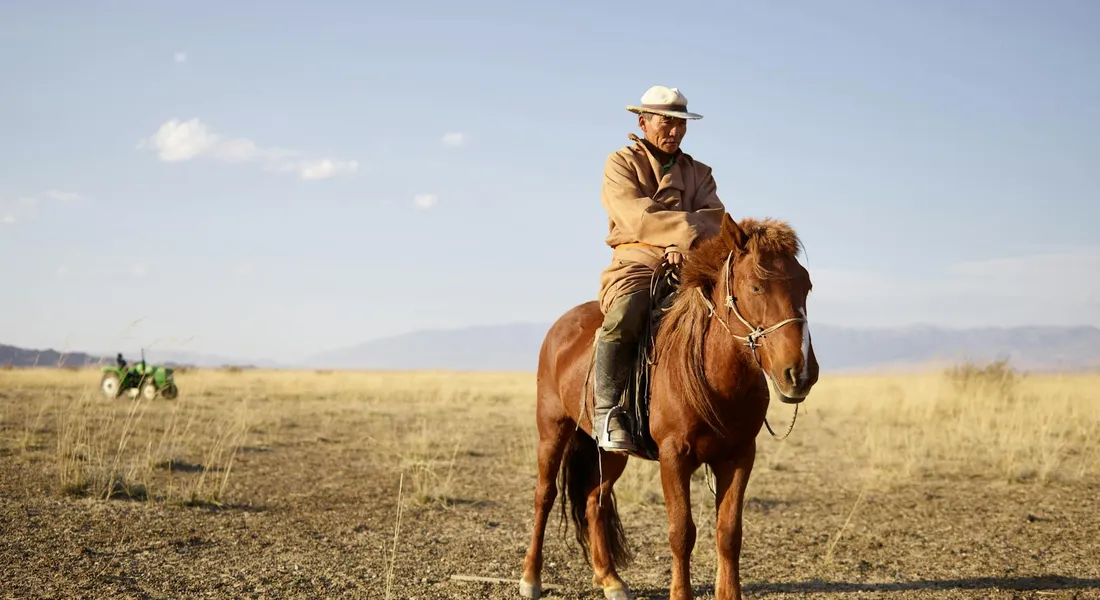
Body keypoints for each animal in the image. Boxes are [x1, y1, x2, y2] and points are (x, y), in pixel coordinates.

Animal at [519, 214, 819, 600]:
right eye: (756, 287)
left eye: (806, 286)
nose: (800, 372)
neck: (713, 373)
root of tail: (561, 327)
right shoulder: (674, 456)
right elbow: (682, 532)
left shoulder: (739, 456)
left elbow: (729, 532)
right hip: (552, 429)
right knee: (545, 495)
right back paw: (531, 577)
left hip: (610, 450)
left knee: (594, 501)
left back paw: (610, 579)